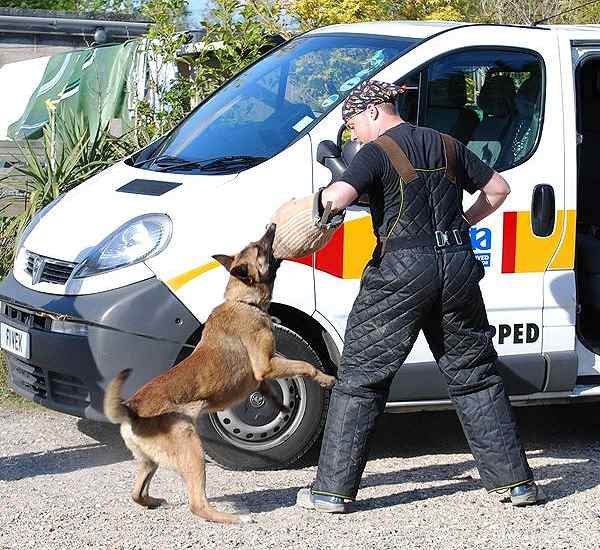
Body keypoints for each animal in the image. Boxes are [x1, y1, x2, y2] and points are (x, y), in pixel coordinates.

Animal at [103, 224, 338, 528]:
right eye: (260, 248)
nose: (271, 226)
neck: (242, 301)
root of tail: (131, 410)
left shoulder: (267, 367)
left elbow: (275, 380)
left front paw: (279, 402)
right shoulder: (266, 364)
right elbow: (303, 365)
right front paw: (325, 378)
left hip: (149, 462)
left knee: (137, 493)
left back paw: (154, 501)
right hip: (193, 449)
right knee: (197, 505)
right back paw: (234, 517)